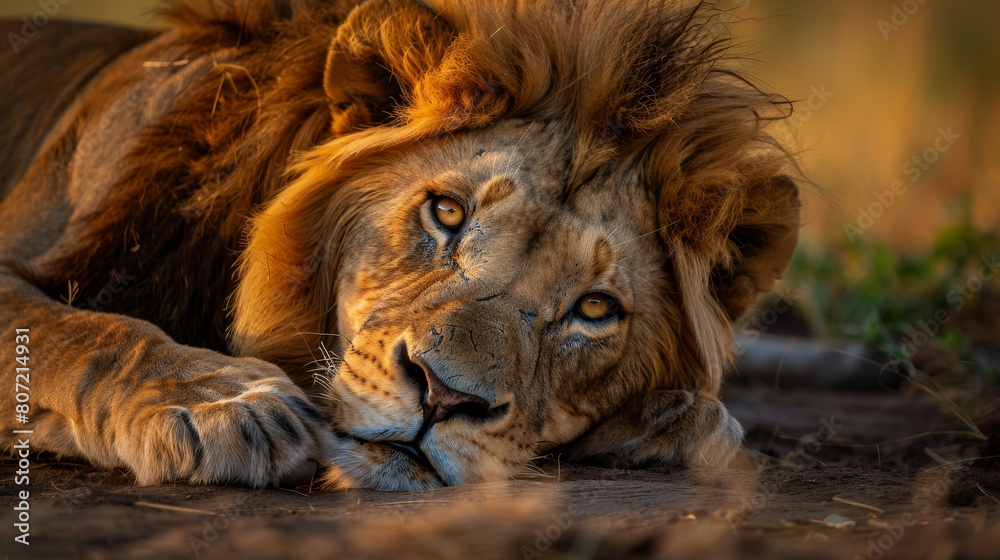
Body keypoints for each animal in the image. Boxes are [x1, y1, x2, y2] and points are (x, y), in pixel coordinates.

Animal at [0, 0, 800, 491]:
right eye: (446, 213)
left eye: (595, 309)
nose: (444, 397)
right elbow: (89, 332)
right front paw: (228, 404)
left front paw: (674, 419)